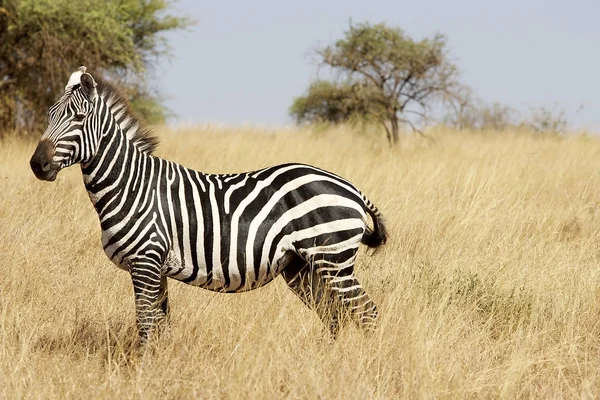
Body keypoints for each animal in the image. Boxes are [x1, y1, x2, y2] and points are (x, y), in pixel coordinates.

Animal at [30, 66, 390, 344]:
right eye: (49, 116)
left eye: (78, 118)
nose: (37, 165)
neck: (130, 186)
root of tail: (351, 188)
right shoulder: (156, 267)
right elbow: (161, 326)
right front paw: (162, 366)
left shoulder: (145, 262)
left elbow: (145, 325)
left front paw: (144, 373)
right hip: (301, 266)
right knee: (335, 314)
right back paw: (326, 360)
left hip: (332, 259)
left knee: (367, 312)